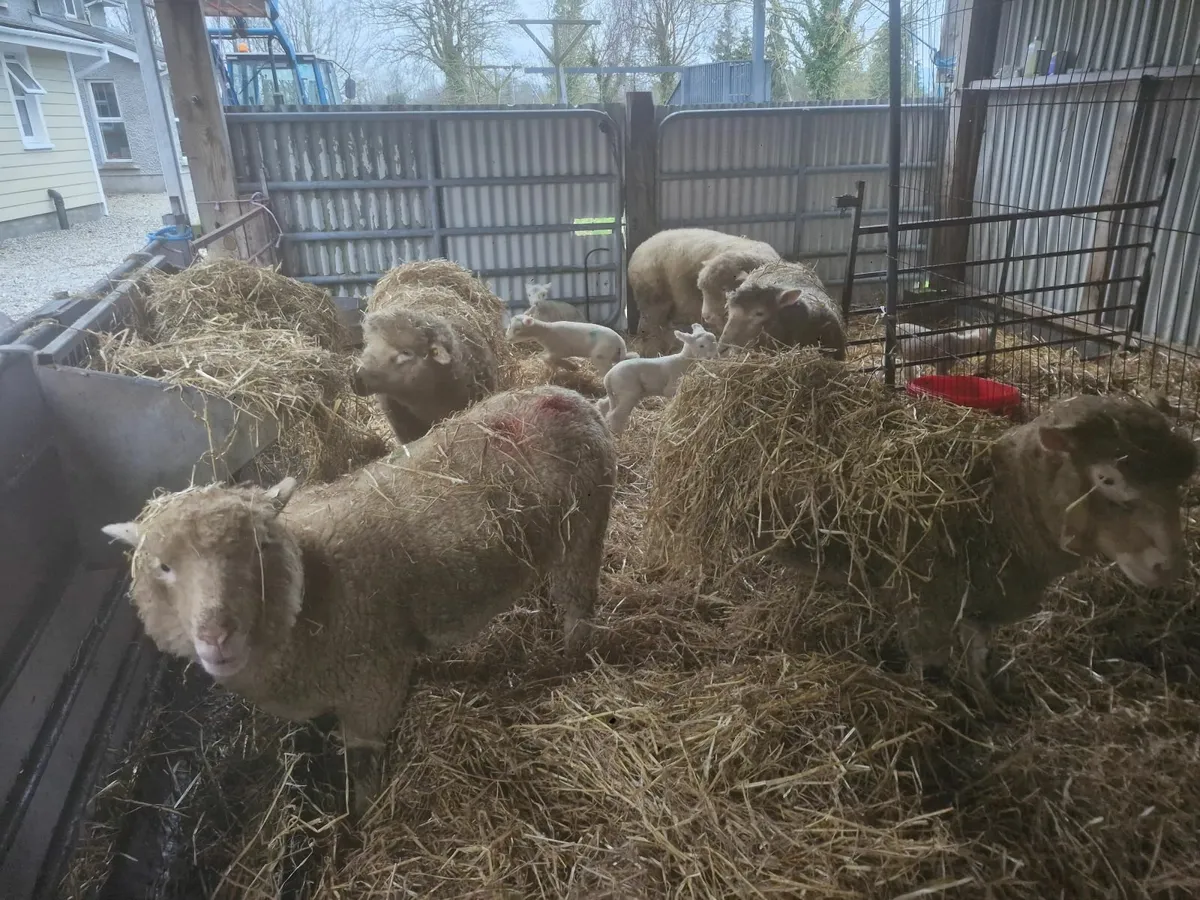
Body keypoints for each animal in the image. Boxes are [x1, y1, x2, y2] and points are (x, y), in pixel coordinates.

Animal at [101, 384, 617, 818]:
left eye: (260, 548)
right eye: (163, 566)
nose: (216, 635)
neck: (314, 589)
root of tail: (565, 395)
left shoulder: (374, 682)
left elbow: (363, 764)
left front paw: (364, 818)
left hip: (584, 527)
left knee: (578, 602)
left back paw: (570, 659)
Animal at [506, 314, 638, 376]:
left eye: (518, 329)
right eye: (509, 326)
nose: (508, 338)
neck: (546, 331)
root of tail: (620, 341)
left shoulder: (559, 350)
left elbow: (548, 359)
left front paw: (571, 366)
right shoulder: (551, 350)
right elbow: (542, 357)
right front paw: (571, 366)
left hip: (601, 355)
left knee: (607, 371)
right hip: (615, 355)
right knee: (633, 356)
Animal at [628, 228, 780, 355]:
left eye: (724, 289)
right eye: (702, 290)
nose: (706, 316)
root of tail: (641, 247)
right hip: (653, 301)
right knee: (649, 329)